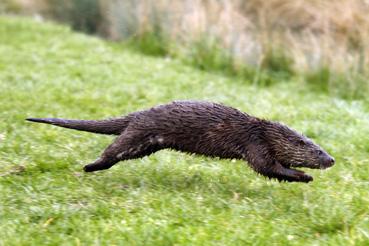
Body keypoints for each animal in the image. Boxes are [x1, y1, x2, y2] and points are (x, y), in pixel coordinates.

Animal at [26, 100, 334, 183]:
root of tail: (139, 113)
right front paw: (304, 176)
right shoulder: (254, 144)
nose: (332, 159)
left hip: (147, 144)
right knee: (111, 151)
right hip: (138, 134)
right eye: (319, 151)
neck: (263, 131)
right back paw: (88, 167)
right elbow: (266, 167)